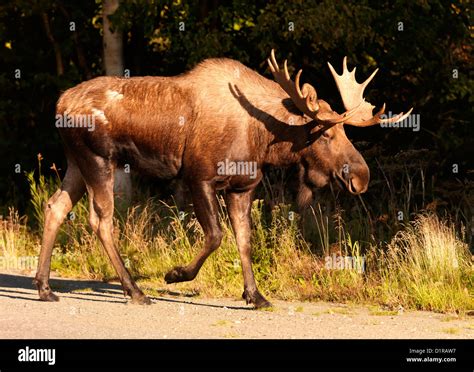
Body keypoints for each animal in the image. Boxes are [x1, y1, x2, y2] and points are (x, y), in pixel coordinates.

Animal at [33, 50, 412, 310]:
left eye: (346, 131)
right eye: (325, 134)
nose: (361, 177)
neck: (265, 139)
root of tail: (59, 103)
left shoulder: (242, 188)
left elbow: (244, 241)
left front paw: (255, 295)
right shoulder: (198, 177)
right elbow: (216, 236)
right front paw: (175, 274)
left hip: (76, 162)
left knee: (55, 207)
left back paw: (44, 287)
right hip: (99, 160)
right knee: (101, 219)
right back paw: (135, 290)